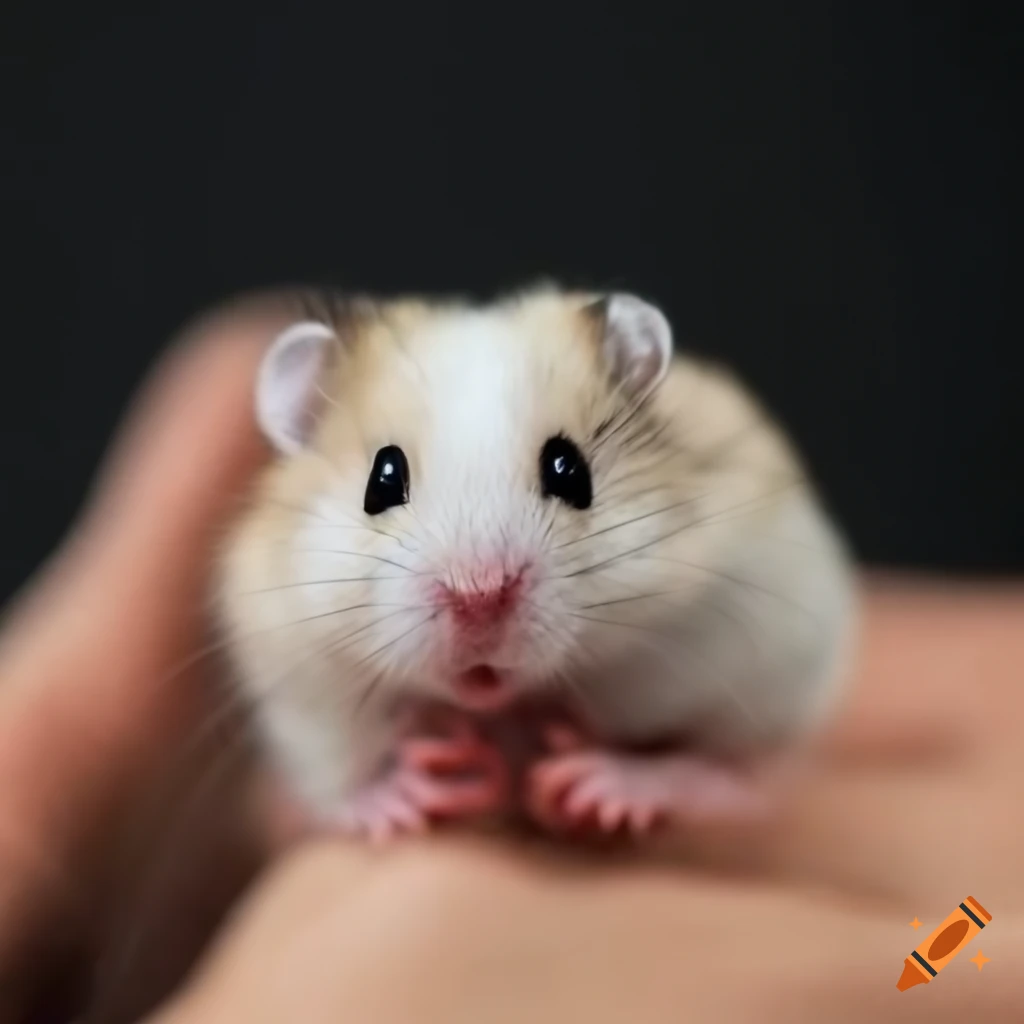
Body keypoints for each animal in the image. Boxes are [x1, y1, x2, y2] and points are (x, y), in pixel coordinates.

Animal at [214, 286, 856, 841]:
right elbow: (342, 778)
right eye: (382, 478)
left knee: (741, 783)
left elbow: (716, 766)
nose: (479, 595)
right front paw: (419, 792)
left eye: (569, 471)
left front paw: (577, 786)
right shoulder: (299, 681)